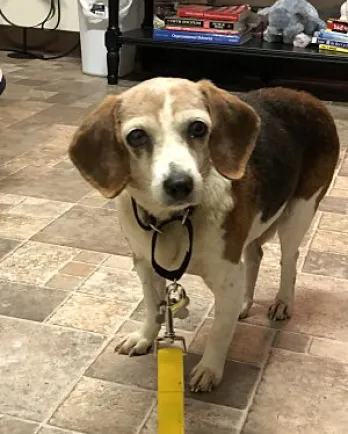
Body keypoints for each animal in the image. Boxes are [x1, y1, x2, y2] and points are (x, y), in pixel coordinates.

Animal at [68, 78, 340, 394]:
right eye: (136, 136)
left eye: (198, 128)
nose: (179, 184)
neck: (174, 220)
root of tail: (307, 96)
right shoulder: (144, 265)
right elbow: (152, 307)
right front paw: (145, 337)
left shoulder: (226, 276)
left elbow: (220, 331)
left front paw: (210, 369)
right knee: (255, 257)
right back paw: (244, 302)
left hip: (299, 213)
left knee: (289, 260)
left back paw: (283, 301)